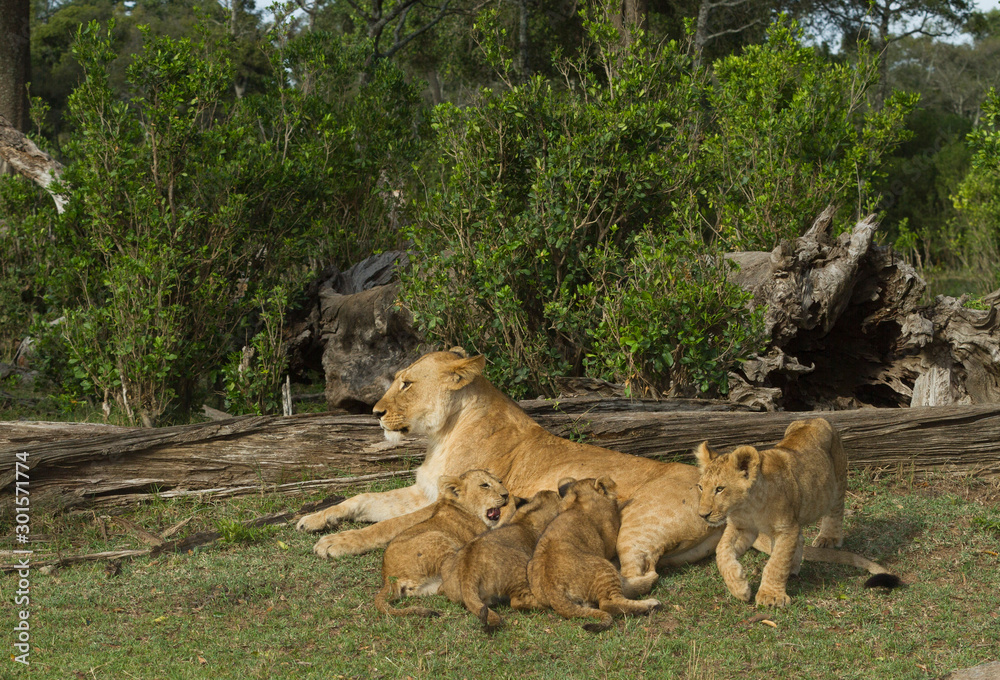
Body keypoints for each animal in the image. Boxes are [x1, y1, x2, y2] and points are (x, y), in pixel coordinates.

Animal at [297, 349, 722, 597]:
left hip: (637, 522)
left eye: (407, 383)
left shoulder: (445, 503)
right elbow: (362, 498)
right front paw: (314, 519)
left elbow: (387, 527)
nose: (375, 413)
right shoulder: (425, 492)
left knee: (638, 574)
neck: (444, 433)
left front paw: (336, 543)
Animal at [374, 469, 515, 617]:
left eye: (500, 481)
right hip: (439, 538)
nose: (506, 494)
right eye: (485, 485)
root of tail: (389, 577)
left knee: (442, 589)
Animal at [526, 477, 661, 632]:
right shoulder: (610, 543)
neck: (578, 501)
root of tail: (552, 589)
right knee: (610, 603)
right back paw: (652, 599)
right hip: (604, 567)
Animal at [695, 418, 900, 607]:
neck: (748, 506)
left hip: (838, 480)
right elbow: (722, 551)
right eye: (700, 487)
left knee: (835, 510)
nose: (702, 515)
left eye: (720, 489)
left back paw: (828, 538)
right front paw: (739, 587)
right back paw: (793, 566)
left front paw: (771, 596)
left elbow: (776, 563)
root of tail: (815, 418)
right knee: (799, 538)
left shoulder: (786, 528)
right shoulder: (741, 527)